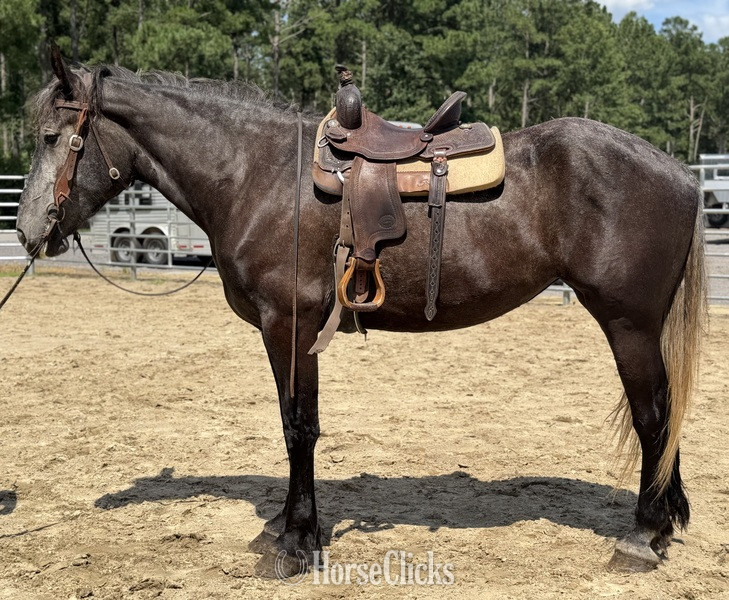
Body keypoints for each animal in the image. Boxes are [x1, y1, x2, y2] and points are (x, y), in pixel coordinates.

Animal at [16, 50, 706, 576]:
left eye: (51, 137)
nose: (26, 232)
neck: (258, 174)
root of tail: (680, 173)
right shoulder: (286, 331)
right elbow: (293, 422)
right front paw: (286, 527)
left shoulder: (288, 324)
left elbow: (299, 426)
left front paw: (295, 543)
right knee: (666, 414)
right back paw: (664, 524)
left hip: (628, 325)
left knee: (652, 418)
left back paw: (640, 538)